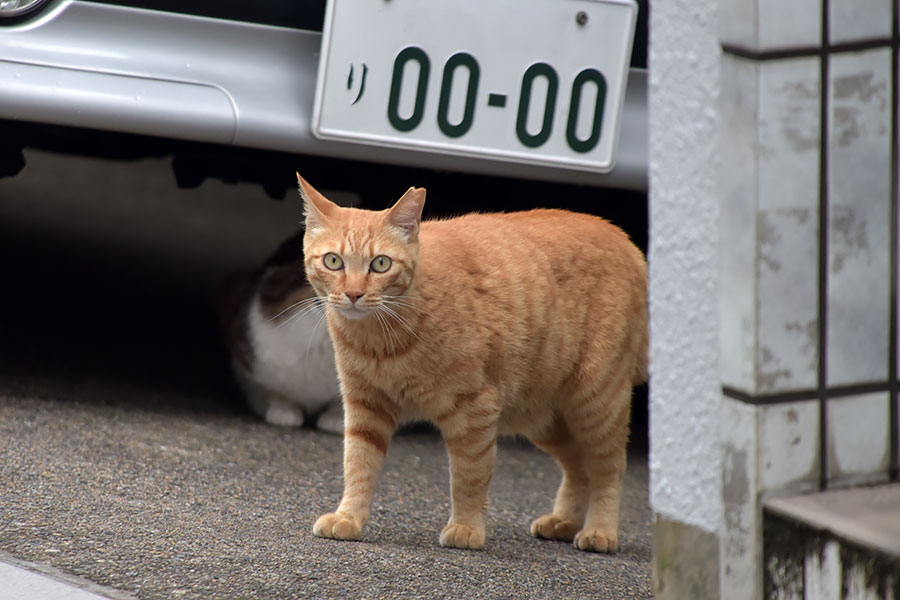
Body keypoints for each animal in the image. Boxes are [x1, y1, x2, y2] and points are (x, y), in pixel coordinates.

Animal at [300, 173, 648, 552]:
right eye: (333, 261)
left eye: (380, 264)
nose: (353, 294)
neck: (381, 339)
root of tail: (626, 241)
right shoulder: (365, 407)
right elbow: (358, 465)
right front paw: (349, 517)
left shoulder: (473, 410)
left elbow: (468, 476)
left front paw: (466, 527)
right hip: (544, 418)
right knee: (578, 468)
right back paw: (563, 522)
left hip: (596, 404)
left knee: (608, 469)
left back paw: (600, 531)